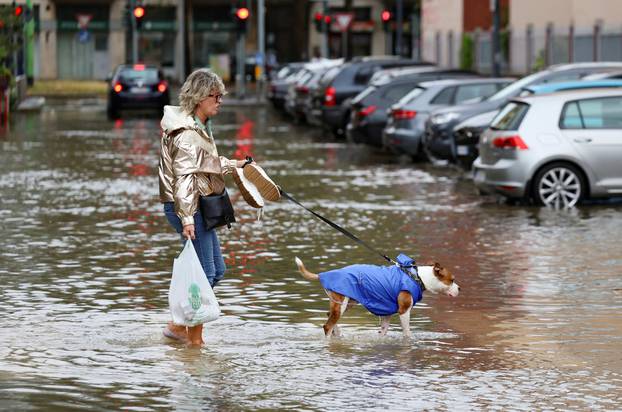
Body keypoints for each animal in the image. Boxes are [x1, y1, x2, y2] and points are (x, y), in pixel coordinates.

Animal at [294, 258, 460, 338]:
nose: (459, 288)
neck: (416, 277)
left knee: (329, 316)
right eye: (452, 280)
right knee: (327, 326)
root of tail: (325, 274)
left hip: (346, 303)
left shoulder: (386, 313)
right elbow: (407, 333)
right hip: (341, 304)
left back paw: (338, 334)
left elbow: (383, 332)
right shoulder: (404, 311)